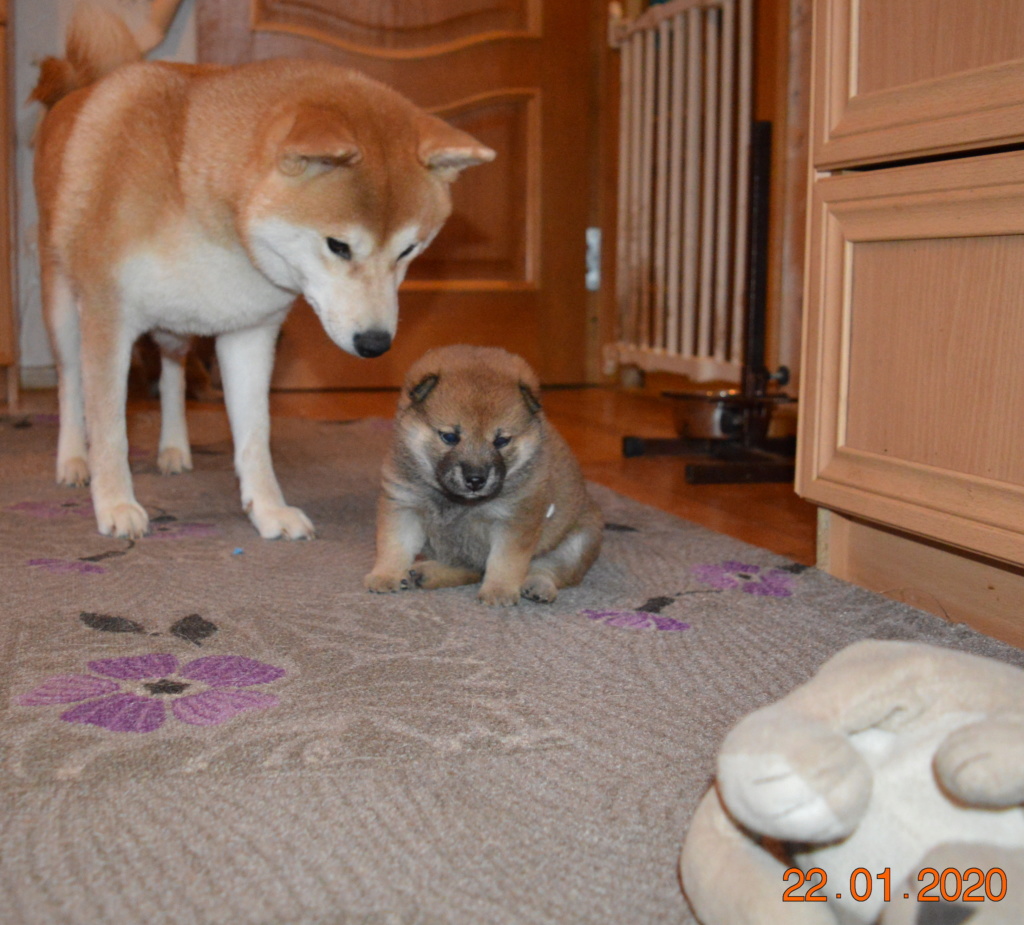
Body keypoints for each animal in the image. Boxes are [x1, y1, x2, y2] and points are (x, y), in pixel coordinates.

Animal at [33, 3, 495, 540]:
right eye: (338, 245)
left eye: (409, 250)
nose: (376, 344)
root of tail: (77, 91)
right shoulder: (109, 320)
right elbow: (110, 427)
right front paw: (115, 502)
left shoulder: (251, 332)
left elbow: (255, 436)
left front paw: (268, 509)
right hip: (65, 309)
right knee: (71, 386)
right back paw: (73, 461)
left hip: (175, 327)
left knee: (172, 375)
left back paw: (174, 448)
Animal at [364, 344, 602, 602]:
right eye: (450, 437)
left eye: (501, 441)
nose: (476, 480)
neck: (456, 503)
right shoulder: (403, 504)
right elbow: (394, 545)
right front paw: (385, 575)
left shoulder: (513, 520)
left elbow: (505, 562)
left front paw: (499, 591)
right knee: (472, 569)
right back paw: (428, 573)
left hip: (580, 541)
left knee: (550, 569)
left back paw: (539, 586)